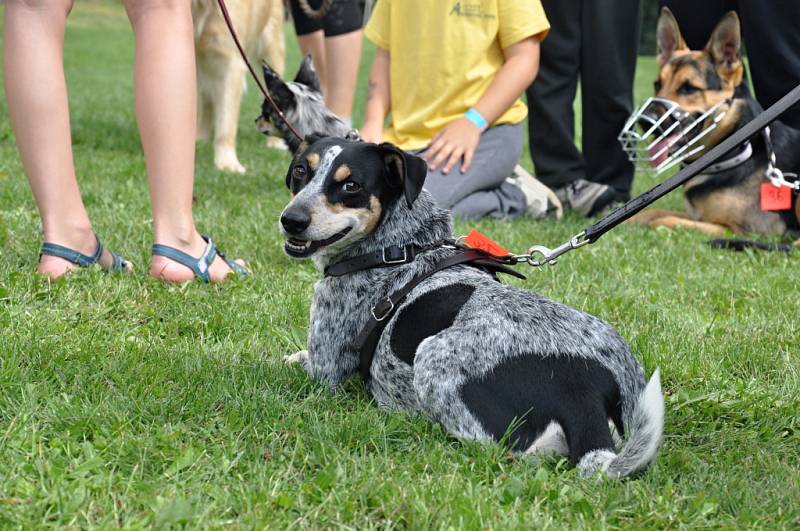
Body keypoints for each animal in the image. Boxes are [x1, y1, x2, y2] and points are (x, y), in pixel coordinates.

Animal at [191, 0, 284, 174]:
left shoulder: (231, 62)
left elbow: (226, 123)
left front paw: (227, 163)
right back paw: (201, 139)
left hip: (271, 52)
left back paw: (274, 142)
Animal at [278, 135, 664, 480]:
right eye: (300, 171)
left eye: (351, 185)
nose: (291, 219)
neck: (397, 247)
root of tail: (585, 393)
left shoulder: (326, 370)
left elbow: (289, 363)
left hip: (433, 357)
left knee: (508, 450)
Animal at [632, 8, 800, 245]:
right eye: (658, 84)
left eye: (688, 88)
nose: (645, 120)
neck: (738, 151)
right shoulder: (698, 215)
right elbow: (651, 212)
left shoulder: (741, 229)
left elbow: (663, 221)